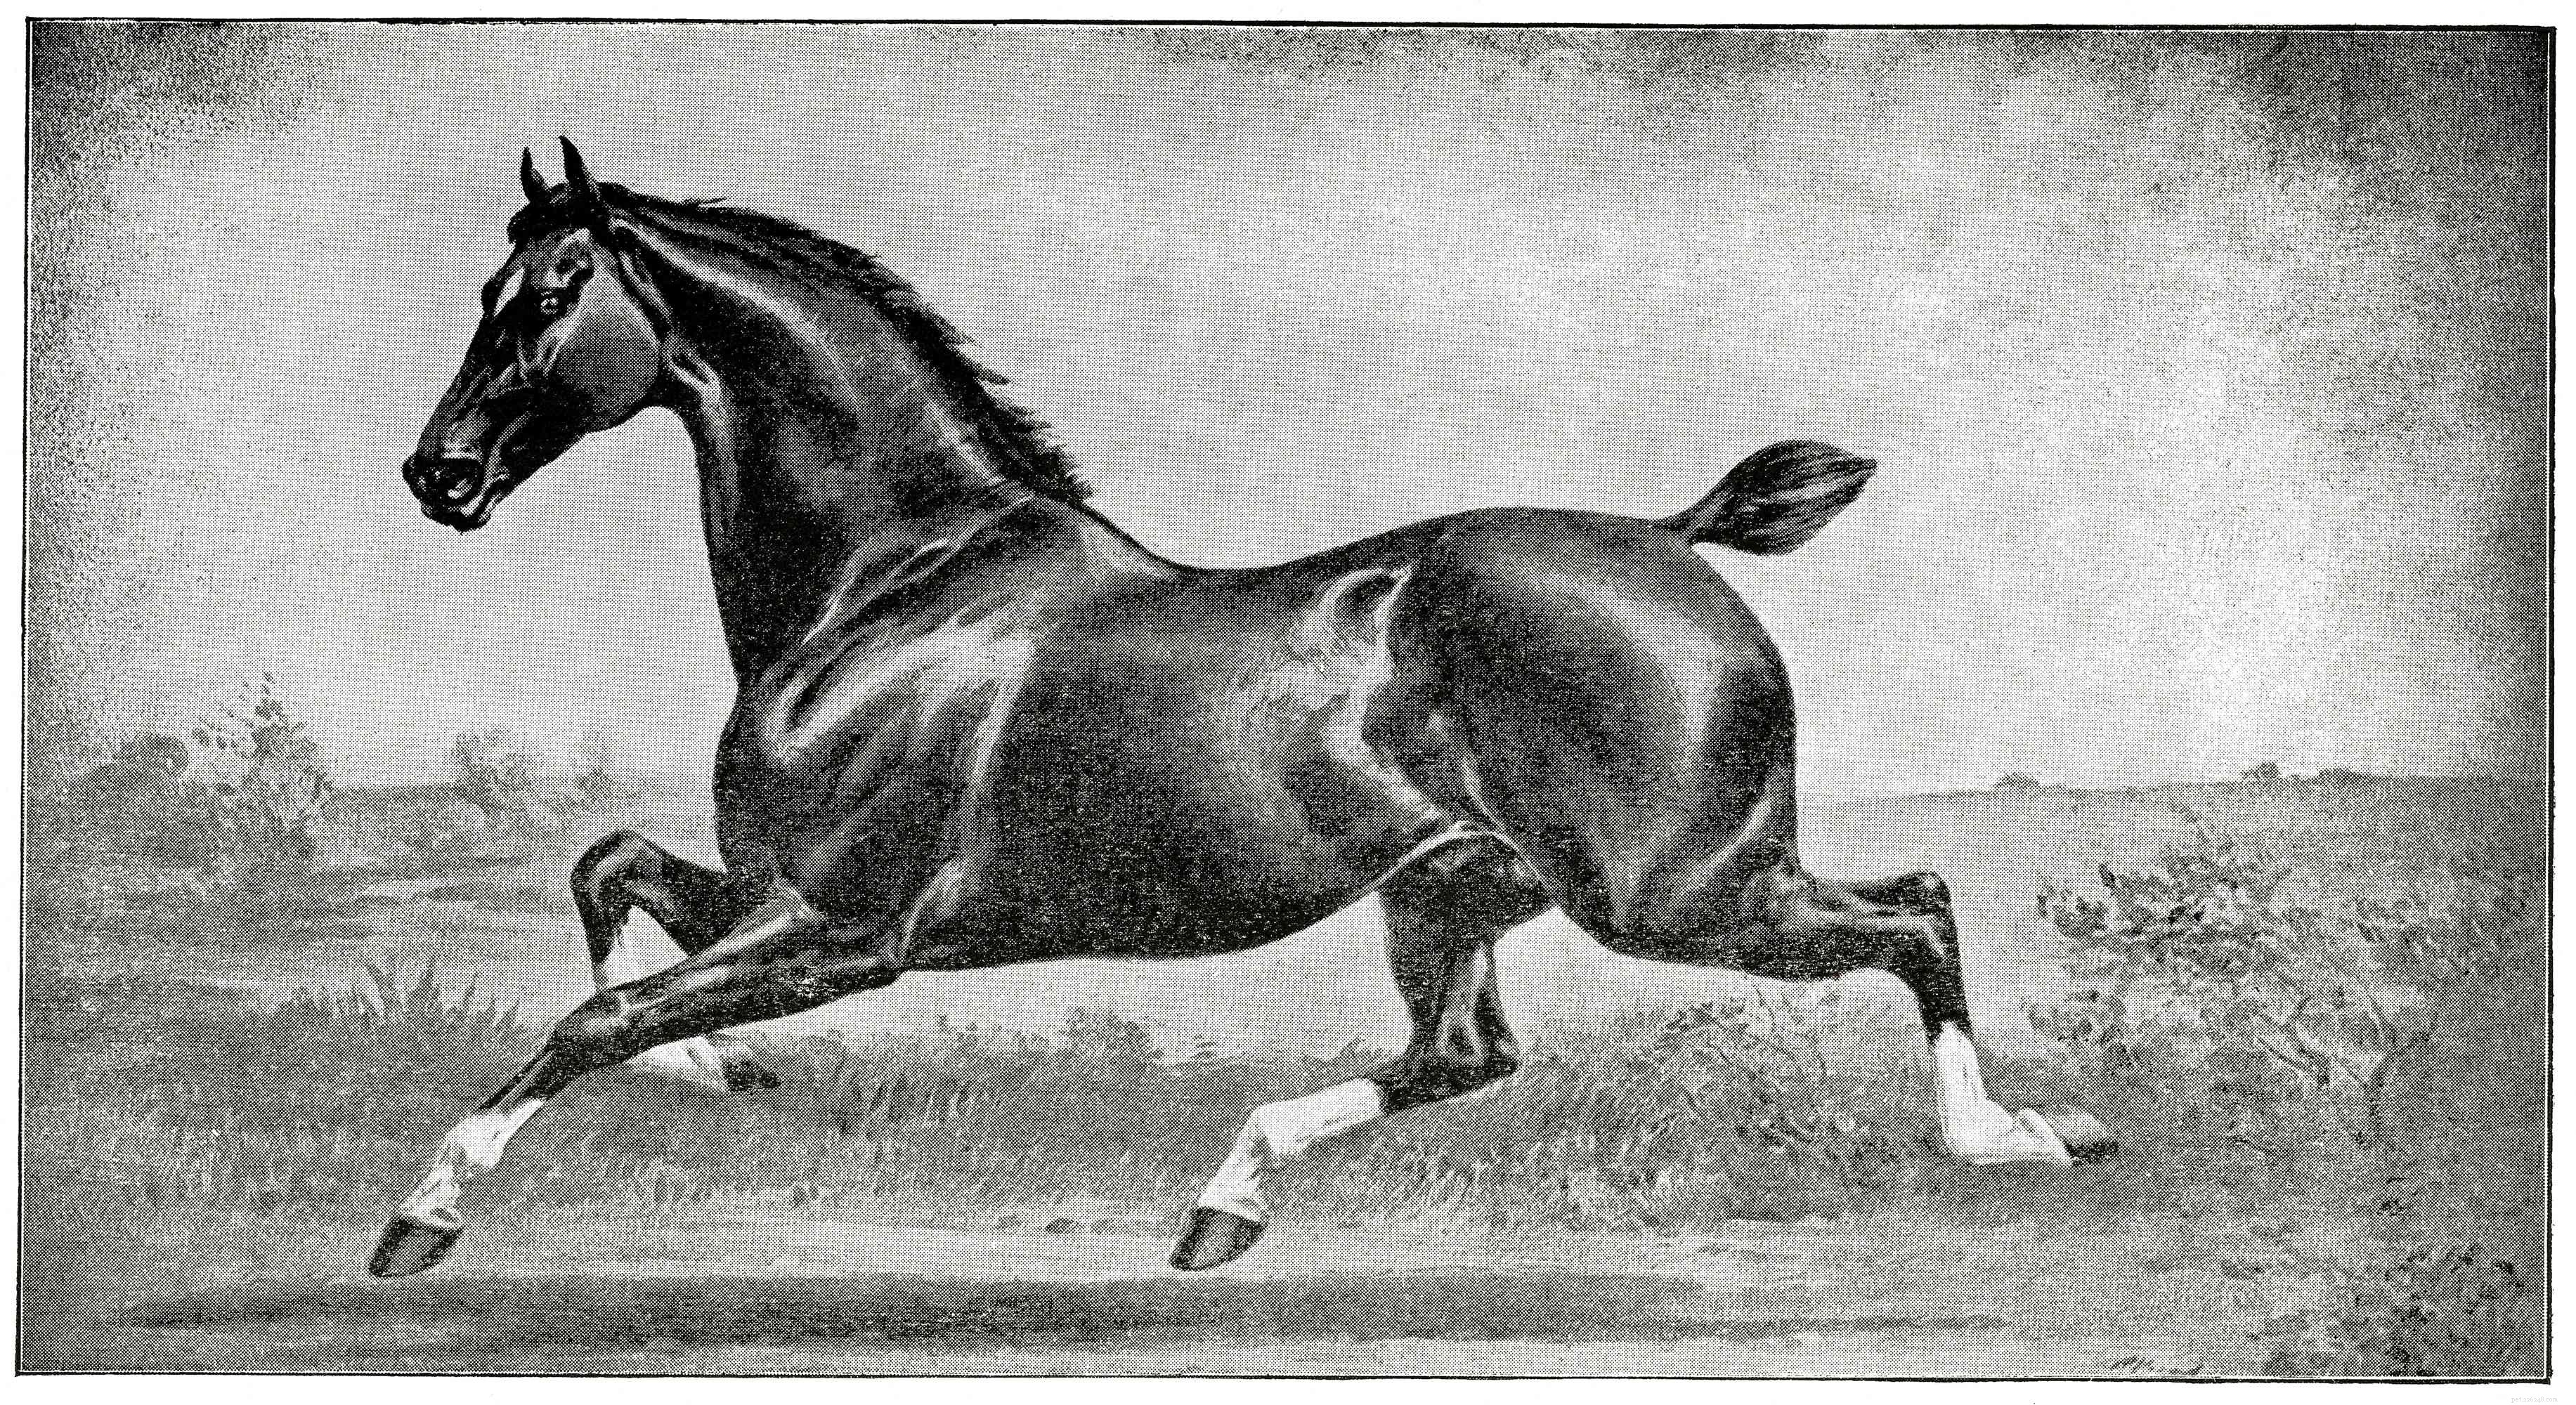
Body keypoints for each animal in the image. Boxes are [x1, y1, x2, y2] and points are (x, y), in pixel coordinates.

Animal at [374, 139, 2112, 1279]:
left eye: (549, 293)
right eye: (487, 285)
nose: (434, 474)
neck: (895, 582)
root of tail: (1672, 544)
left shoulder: (848, 930)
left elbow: (593, 1015)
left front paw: (422, 1214)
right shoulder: (769, 896)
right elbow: (607, 876)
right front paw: (716, 1072)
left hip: (1682, 892)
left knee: (1915, 909)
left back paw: (2018, 1140)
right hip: (1460, 895)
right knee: (1465, 1054)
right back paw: (1224, 1205)